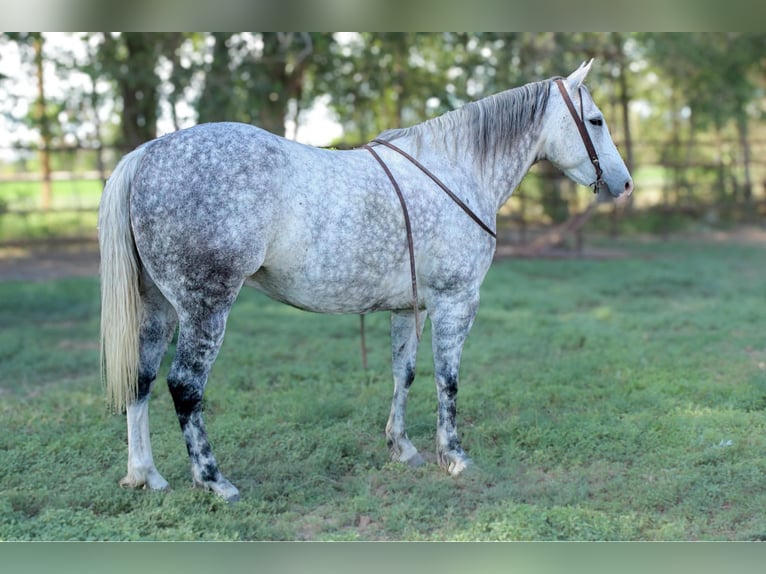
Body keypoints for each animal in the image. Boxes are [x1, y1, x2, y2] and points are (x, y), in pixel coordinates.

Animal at [99, 59, 633, 501]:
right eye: (596, 120)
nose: (625, 184)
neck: (455, 172)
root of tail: (147, 153)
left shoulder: (410, 306)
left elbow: (405, 372)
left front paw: (403, 447)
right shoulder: (456, 302)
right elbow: (448, 380)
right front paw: (454, 456)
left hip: (158, 305)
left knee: (142, 378)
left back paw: (145, 475)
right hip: (205, 306)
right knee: (185, 385)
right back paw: (213, 480)